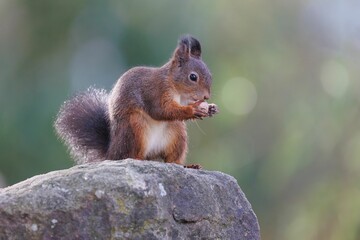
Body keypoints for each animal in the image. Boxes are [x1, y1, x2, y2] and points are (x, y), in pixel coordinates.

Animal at [55, 34, 219, 168]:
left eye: (210, 75)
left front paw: (211, 108)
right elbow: (161, 110)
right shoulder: (155, 92)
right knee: (129, 155)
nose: (206, 97)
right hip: (135, 127)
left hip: (177, 133)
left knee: (171, 159)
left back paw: (186, 166)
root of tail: (111, 153)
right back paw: (137, 159)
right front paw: (194, 109)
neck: (176, 88)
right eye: (193, 77)